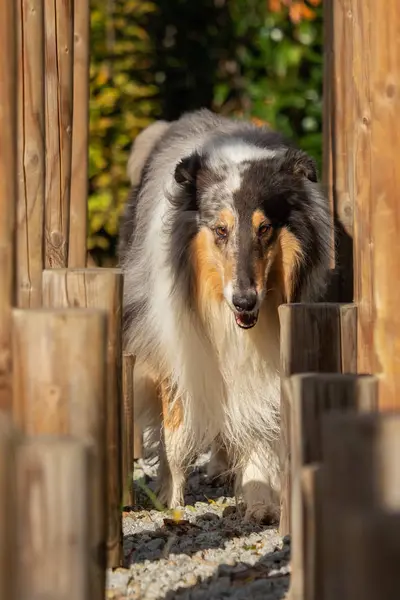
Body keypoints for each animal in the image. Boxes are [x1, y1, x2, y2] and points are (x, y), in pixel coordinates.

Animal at [118, 110, 332, 524]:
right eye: (220, 229)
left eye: (265, 228)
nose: (245, 302)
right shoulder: (177, 350)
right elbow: (176, 435)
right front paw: (172, 500)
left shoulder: (268, 356)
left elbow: (258, 421)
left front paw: (261, 500)